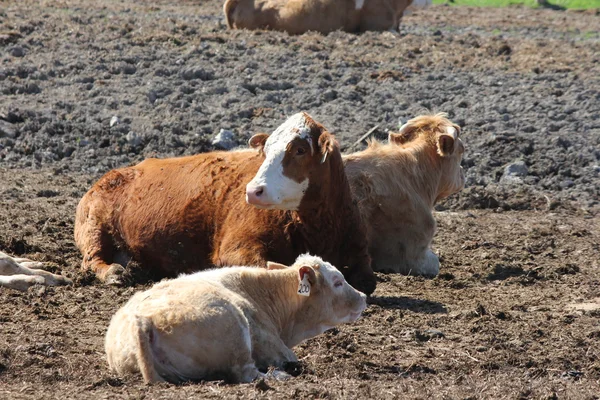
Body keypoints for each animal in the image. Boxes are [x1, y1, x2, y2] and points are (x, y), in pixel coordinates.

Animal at [74, 112, 376, 294]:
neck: (317, 228)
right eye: (266, 151)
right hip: (94, 226)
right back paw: (114, 272)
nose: (253, 191)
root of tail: (115, 173)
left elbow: (368, 279)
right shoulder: (236, 247)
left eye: (300, 150)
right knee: (92, 260)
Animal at [106, 255, 368, 382]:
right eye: (338, 281)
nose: (363, 297)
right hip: (236, 333)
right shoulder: (277, 350)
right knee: (246, 373)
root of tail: (142, 319)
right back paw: (280, 375)